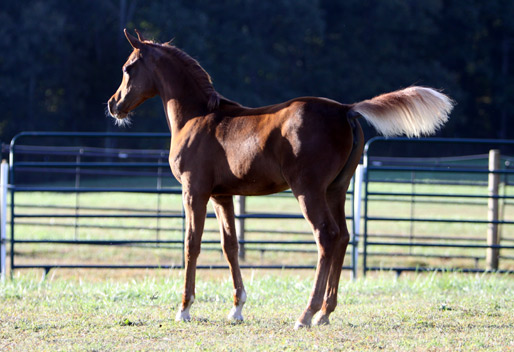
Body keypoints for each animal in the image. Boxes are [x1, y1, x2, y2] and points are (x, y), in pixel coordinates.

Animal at [108, 28, 452, 328]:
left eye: (127, 68)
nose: (114, 105)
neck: (197, 117)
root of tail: (345, 109)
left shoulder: (195, 191)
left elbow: (191, 244)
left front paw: (184, 308)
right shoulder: (222, 195)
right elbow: (230, 245)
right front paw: (237, 309)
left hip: (307, 190)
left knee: (326, 236)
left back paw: (306, 315)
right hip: (336, 190)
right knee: (342, 236)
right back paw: (325, 312)